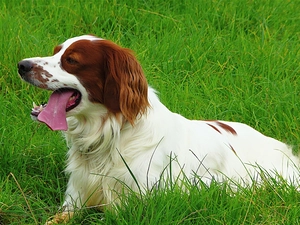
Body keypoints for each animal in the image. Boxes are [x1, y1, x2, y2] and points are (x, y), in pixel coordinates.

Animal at [17, 34, 300, 223]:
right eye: (55, 51)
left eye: (71, 60)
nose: (22, 65)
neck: (110, 136)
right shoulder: (74, 200)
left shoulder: (132, 205)